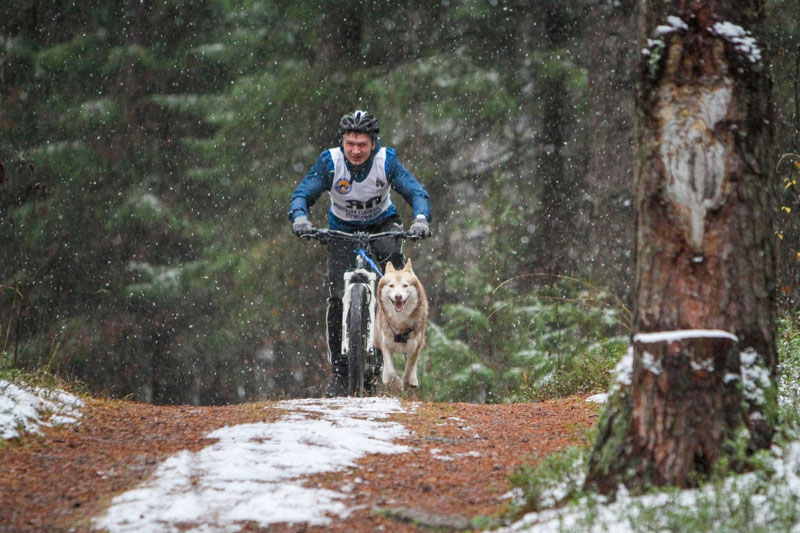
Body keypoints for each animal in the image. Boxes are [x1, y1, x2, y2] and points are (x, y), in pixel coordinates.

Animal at [374, 258, 428, 390]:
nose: (398, 296)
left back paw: (413, 380)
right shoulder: (386, 343)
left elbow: (409, 368)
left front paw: (406, 382)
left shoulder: (414, 346)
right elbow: (390, 370)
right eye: (391, 285)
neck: (400, 322)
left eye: (405, 285)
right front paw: (396, 383)